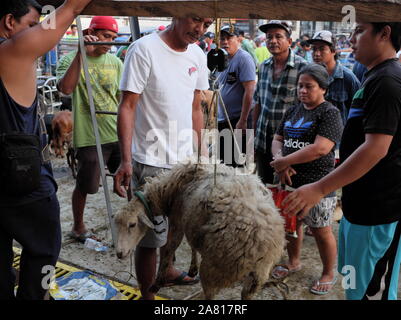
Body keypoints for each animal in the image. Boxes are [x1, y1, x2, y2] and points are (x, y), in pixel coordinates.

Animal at [114, 162, 286, 300]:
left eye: (132, 224)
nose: (119, 253)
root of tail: (263, 247)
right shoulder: (192, 221)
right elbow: (192, 245)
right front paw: (192, 268)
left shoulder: (177, 219)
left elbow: (170, 248)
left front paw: (158, 283)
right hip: (255, 280)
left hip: (215, 269)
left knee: (210, 294)